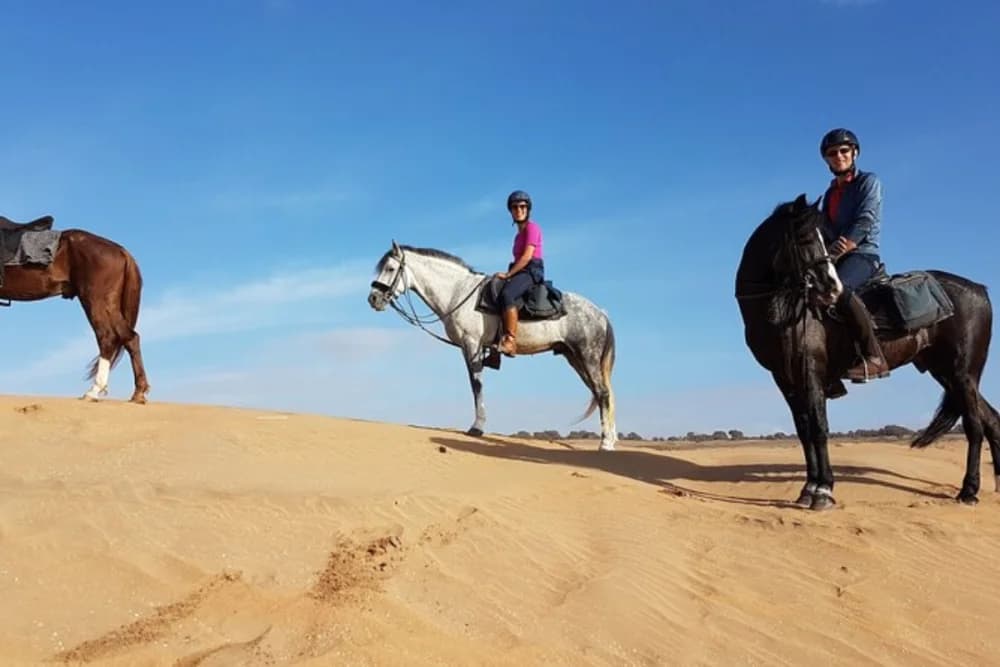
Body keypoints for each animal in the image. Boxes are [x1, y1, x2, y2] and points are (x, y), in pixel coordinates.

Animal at [0, 215, 150, 403]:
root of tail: (121, 251)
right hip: (109, 304)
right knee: (129, 338)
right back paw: (138, 393)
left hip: (95, 300)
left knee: (108, 337)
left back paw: (94, 391)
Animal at [367, 241, 618, 450]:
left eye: (390, 269)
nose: (373, 299)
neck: (457, 292)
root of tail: (600, 313)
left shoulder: (471, 344)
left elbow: (476, 385)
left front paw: (477, 427)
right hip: (574, 357)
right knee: (599, 393)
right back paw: (611, 438)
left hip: (587, 356)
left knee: (602, 393)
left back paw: (606, 443)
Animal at [734, 195, 1000, 509]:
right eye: (804, 237)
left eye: (823, 239)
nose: (832, 288)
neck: (784, 312)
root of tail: (979, 290)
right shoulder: (784, 378)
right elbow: (803, 431)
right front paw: (808, 489)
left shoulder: (810, 371)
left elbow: (819, 427)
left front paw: (823, 490)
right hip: (947, 373)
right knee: (991, 420)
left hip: (963, 373)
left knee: (975, 425)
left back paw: (968, 491)